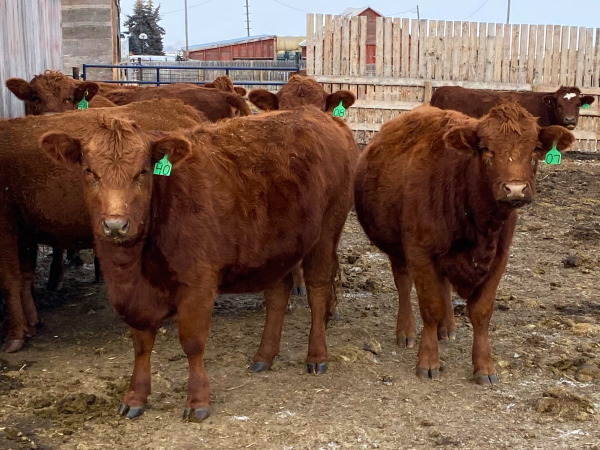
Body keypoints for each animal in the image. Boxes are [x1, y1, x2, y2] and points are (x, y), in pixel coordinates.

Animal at [0, 99, 205, 353]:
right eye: (89, 171)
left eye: (142, 172)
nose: (115, 225)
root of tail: (182, 108)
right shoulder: (23, 229)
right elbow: (24, 277)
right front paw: (30, 324)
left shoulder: (5, 228)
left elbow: (10, 280)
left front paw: (15, 335)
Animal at [40, 106, 359, 421]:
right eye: (89, 171)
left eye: (142, 171)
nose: (115, 225)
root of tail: (320, 115)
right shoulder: (133, 297)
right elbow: (141, 344)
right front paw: (135, 397)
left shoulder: (198, 283)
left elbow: (192, 341)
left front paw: (197, 401)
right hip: (278, 248)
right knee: (278, 296)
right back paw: (264, 356)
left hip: (326, 233)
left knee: (317, 291)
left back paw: (316, 356)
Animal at [354, 103, 574, 385]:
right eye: (487, 150)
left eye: (534, 149)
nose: (515, 189)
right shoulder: (420, 252)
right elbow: (430, 307)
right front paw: (428, 361)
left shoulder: (499, 257)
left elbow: (481, 312)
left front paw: (484, 366)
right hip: (398, 248)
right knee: (403, 284)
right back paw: (406, 331)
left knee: (444, 286)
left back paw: (447, 327)